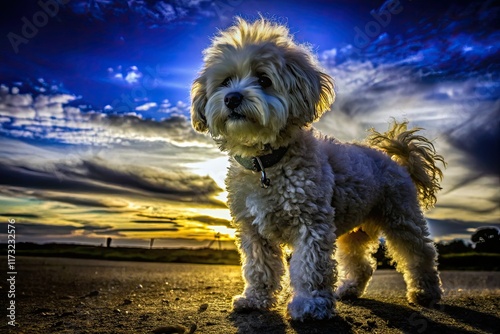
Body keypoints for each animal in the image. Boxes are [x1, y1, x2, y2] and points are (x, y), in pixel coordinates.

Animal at [190, 17, 446, 320]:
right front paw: (255, 299)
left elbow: (310, 267)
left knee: (419, 253)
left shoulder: (311, 223)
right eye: (225, 81)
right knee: (361, 263)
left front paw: (309, 304)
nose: (231, 98)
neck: (267, 162)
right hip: (354, 231)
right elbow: (259, 268)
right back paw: (350, 288)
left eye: (264, 79)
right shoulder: (253, 230)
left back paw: (425, 292)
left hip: (401, 217)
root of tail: (396, 161)